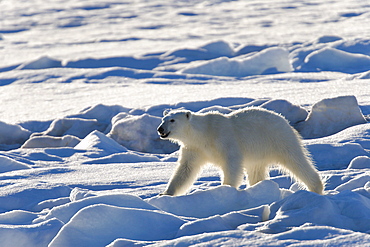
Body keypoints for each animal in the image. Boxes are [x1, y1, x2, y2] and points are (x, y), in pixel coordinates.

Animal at [156, 107, 324, 196]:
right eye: (163, 119)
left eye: (172, 120)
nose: (160, 129)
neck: (203, 134)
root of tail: (284, 120)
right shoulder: (194, 149)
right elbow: (185, 170)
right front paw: (165, 194)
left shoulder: (224, 139)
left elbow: (232, 164)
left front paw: (226, 188)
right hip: (259, 154)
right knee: (256, 170)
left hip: (278, 139)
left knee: (296, 161)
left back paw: (316, 187)